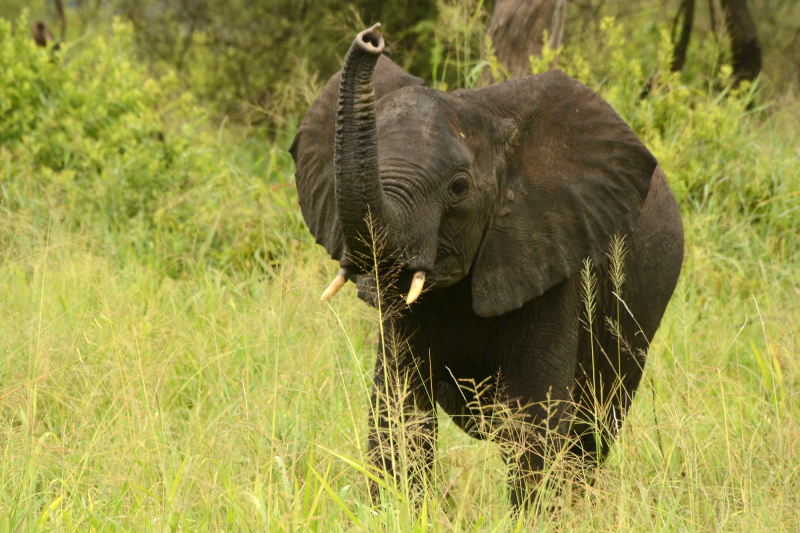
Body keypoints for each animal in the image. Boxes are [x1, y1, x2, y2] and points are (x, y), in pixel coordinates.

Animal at [290, 23, 684, 508]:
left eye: (458, 188)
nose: (372, 37)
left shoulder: (553, 249)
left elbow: (533, 419)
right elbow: (399, 413)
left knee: (593, 427)